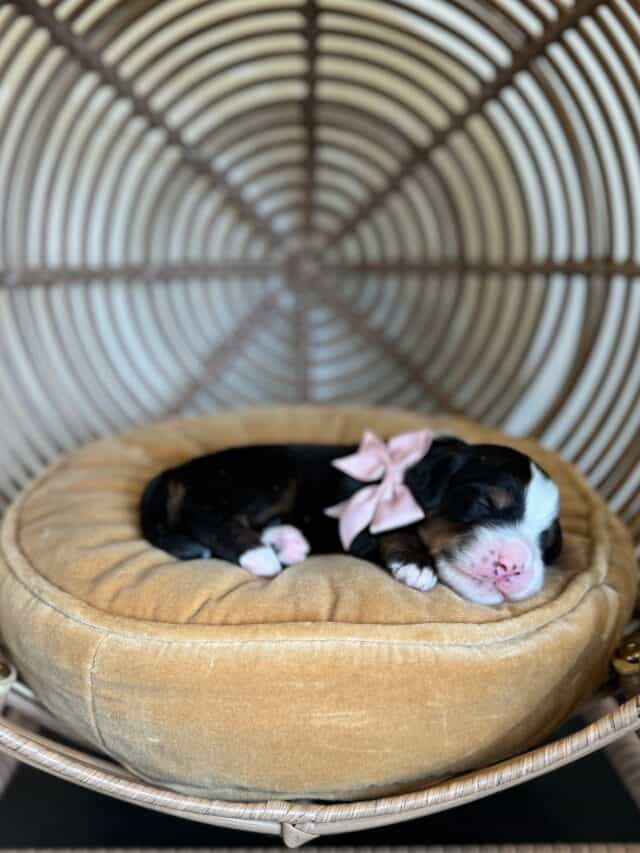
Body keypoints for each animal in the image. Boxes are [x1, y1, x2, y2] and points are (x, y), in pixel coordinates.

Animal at [139, 436, 560, 608]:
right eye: (484, 503)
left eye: (545, 542)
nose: (515, 565)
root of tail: (177, 471)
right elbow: (397, 529)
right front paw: (416, 565)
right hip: (267, 478)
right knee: (204, 512)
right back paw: (259, 554)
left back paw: (287, 542)